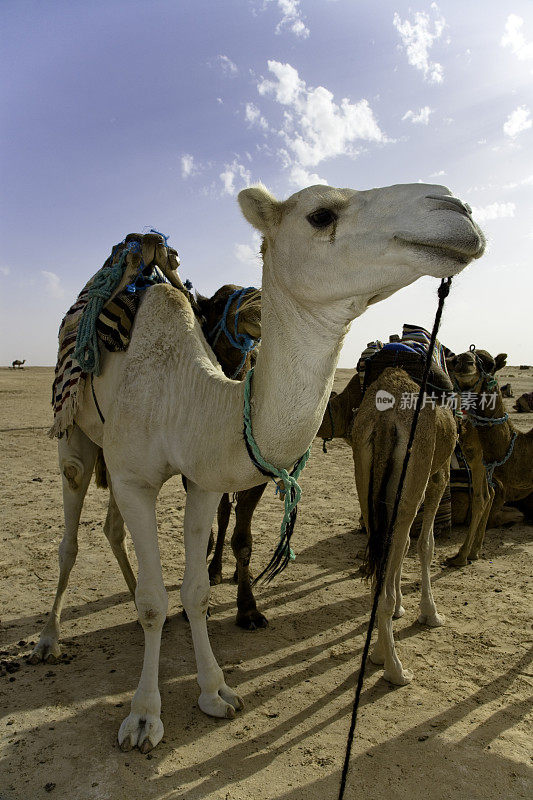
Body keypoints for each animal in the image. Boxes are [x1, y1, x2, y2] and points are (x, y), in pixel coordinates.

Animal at [31, 181, 484, 752]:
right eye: (321, 214)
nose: (456, 209)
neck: (189, 396)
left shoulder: (203, 479)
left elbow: (196, 592)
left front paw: (214, 691)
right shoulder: (135, 479)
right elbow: (158, 602)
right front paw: (143, 716)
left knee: (113, 528)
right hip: (74, 436)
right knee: (70, 534)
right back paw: (49, 638)